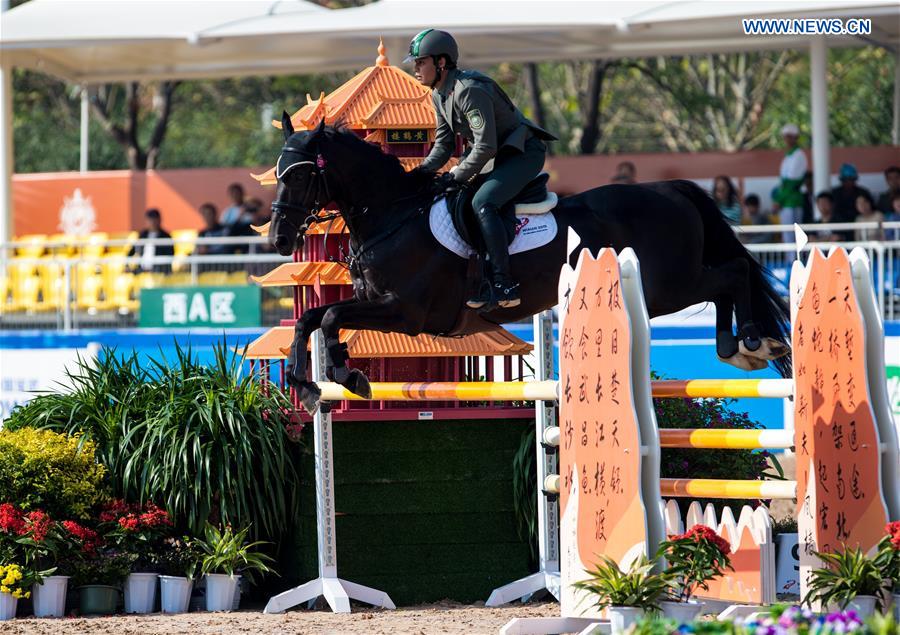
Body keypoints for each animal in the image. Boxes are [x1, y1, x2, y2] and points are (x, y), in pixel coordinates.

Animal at [268, 116, 788, 414]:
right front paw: (308, 383)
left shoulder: (407, 312)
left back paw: (751, 342)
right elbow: (312, 318)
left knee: (733, 275)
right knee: (727, 281)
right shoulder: (377, 303)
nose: (278, 239)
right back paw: (738, 348)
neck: (394, 215)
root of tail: (671, 189)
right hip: (668, 286)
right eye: (278, 172)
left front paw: (344, 375)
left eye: (300, 175)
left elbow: (331, 317)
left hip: (669, 285)